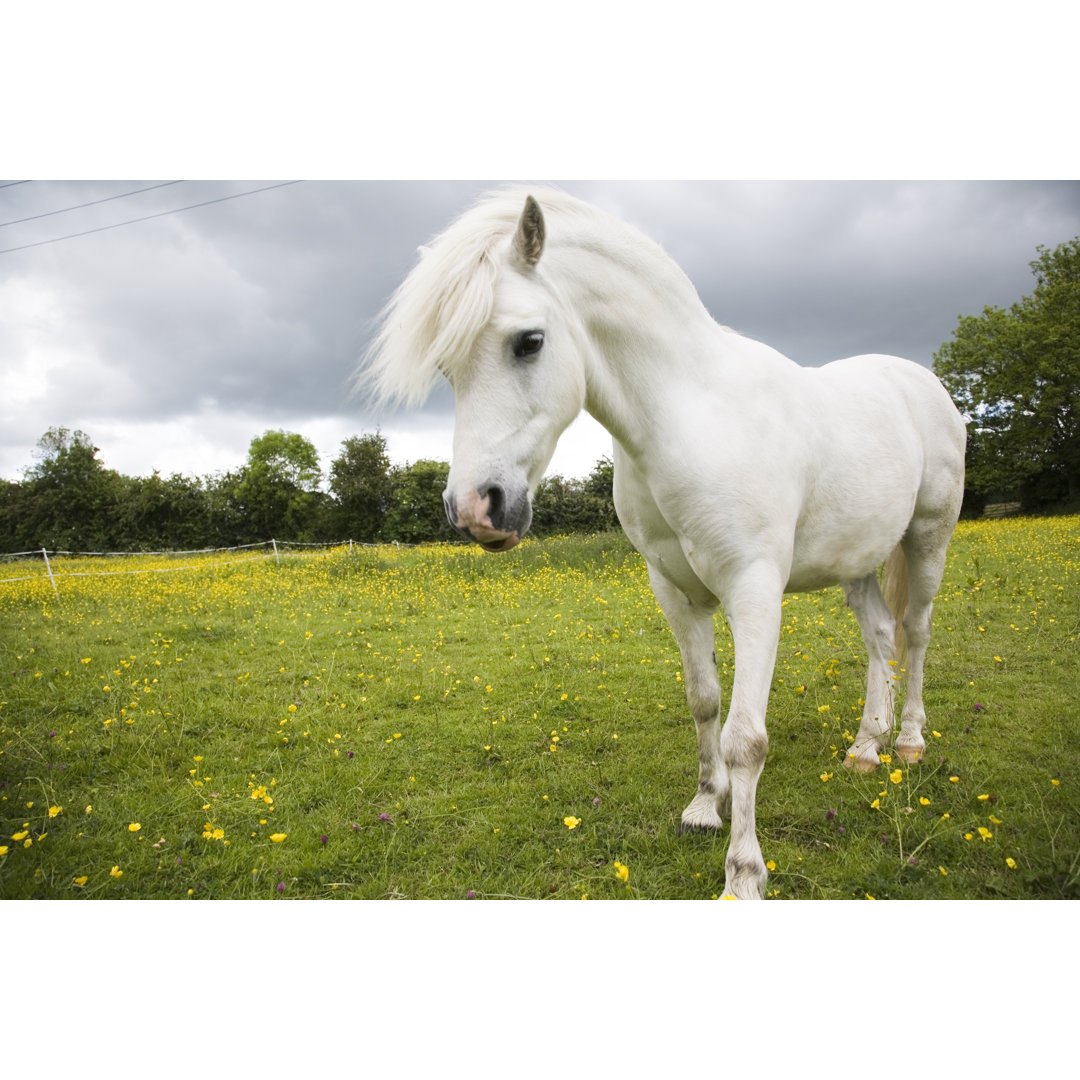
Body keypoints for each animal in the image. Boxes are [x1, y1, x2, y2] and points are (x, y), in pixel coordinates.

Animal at [367, 190, 967, 898]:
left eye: (529, 342)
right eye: (447, 367)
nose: (474, 510)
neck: (691, 416)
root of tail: (921, 383)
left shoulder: (754, 589)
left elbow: (746, 739)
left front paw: (743, 877)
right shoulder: (675, 591)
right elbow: (704, 702)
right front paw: (706, 806)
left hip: (927, 539)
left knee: (915, 632)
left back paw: (908, 742)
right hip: (858, 560)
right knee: (878, 634)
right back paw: (865, 747)